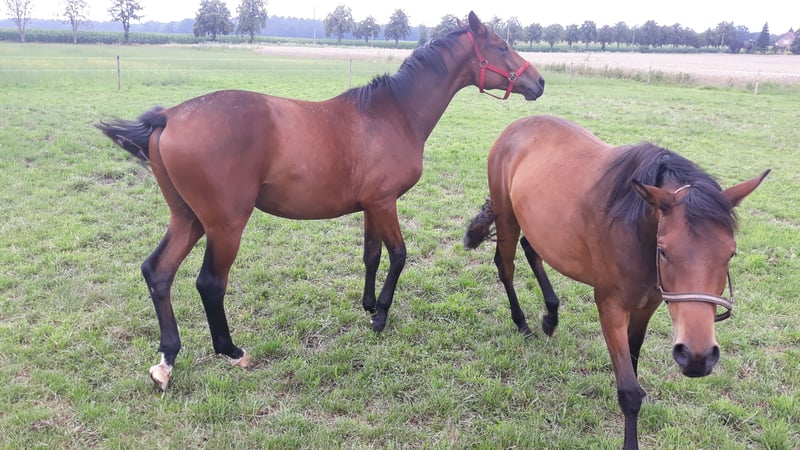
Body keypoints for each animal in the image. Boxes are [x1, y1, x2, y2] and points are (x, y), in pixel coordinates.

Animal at [95, 11, 545, 391]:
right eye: (501, 45)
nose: (539, 83)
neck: (393, 114)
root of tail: (169, 116)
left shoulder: (372, 206)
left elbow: (372, 255)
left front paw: (368, 305)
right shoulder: (385, 203)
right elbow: (399, 255)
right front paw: (380, 315)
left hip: (187, 218)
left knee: (158, 272)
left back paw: (167, 360)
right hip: (224, 225)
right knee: (209, 283)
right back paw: (231, 351)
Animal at [464, 115, 768, 449]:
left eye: (730, 253)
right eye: (664, 250)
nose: (697, 357)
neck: (633, 228)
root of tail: (516, 126)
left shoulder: (646, 306)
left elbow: (633, 365)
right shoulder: (610, 307)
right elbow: (629, 392)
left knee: (532, 250)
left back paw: (551, 316)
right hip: (507, 217)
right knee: (505, 267)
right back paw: (522, 323)